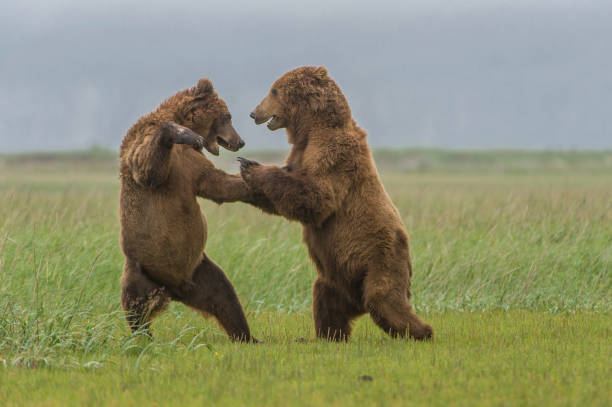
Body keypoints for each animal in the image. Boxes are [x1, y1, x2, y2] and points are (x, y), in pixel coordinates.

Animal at [119, 78, 256, 342]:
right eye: (227, 116)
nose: (241, 141)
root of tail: (172, 289)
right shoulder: (150, 144)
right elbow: (146, 167)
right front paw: (182, 133)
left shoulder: (192, 166)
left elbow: (215, 183)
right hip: (140, 269)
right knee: (134, 305)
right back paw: (143, 338)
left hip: (200, 270)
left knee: (225, 297)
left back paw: (248, 336)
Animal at [239, 67, 436, 342]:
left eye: (274, 90)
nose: (254, 112)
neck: (311, 130)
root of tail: (357, 302)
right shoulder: (300, 154)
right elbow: (289, 198)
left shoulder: (333, 154)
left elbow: (316, 198)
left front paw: (252, 166)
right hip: (334, 277)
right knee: (325, 299)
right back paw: (324, 335)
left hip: (382, 260)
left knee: (385, 300)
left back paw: (421, 332)